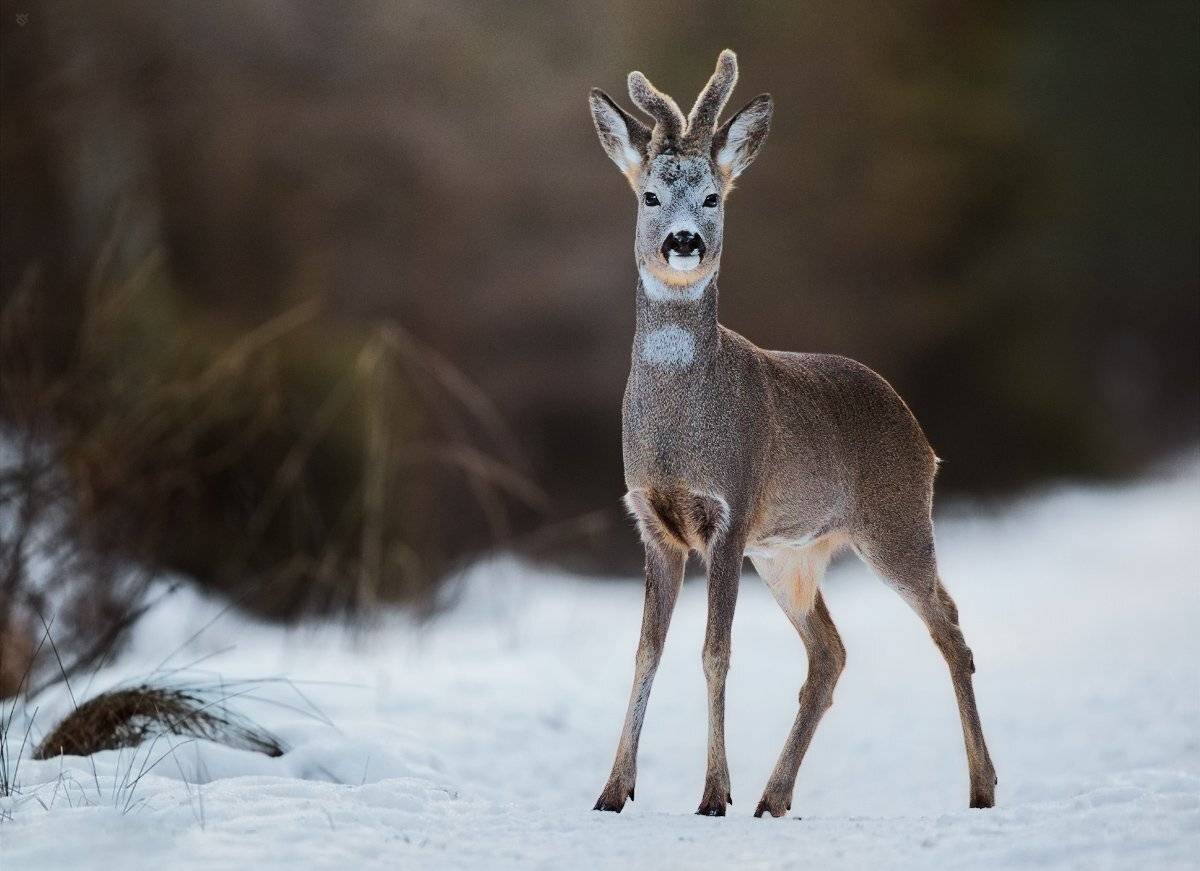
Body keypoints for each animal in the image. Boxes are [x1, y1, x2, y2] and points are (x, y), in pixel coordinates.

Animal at [587, 50, 997, 818]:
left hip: (895, 521)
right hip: (791, 556)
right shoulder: (654, 523)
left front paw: (712, 793)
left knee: (950, 627)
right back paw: (773, 797)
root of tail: (921, 436)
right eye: (650, 196)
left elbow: (715, 651)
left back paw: (982, 787)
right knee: (830, 652)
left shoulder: (732, 509)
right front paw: (613, 789)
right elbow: (645, 651)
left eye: (713, 197)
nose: (683, 243)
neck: (680, 427)